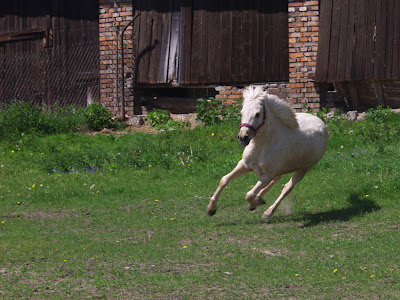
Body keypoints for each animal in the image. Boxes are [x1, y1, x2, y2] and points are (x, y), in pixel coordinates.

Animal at [206, 85, 328, 220]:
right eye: (242, 112)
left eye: (258, 114)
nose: (243, 137)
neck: (261, 147)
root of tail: (322, 123)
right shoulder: (244, 165)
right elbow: (224, 180)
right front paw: (211, 209)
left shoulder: (266, 175)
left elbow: (249, 194)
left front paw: (253, 205)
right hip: (281, 168)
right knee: (277, 180)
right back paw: (260, 198)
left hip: (303, 169)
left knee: (287, 188)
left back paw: (268, 211)